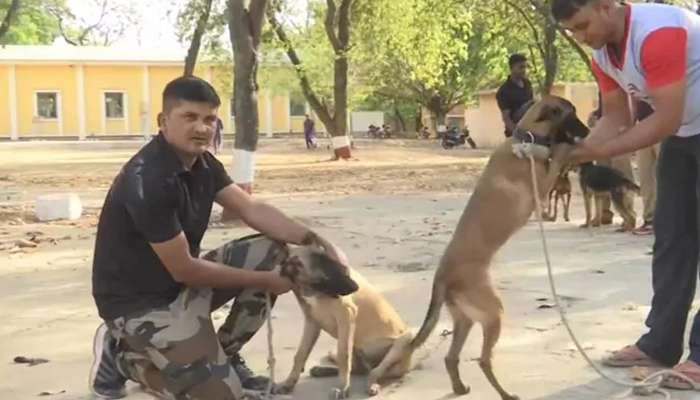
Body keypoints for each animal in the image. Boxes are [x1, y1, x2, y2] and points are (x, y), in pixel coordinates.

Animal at [276, 248, 412, 398]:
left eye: (342, 269)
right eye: (327, 276)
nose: (356, 287)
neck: (317, 292)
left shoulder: (346, 317)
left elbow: (343, 355)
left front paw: (343, 388)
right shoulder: (312, 323)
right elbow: (301, 354)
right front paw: (289, 383)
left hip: (405, 339)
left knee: (374, 372)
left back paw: (371, 384)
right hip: (354, 349)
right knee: (358, 369)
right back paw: (322, 370)